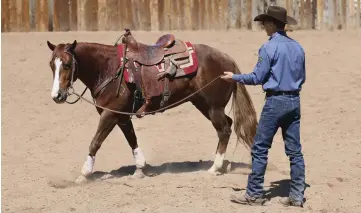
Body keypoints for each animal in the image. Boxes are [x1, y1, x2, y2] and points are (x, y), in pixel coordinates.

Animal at [45, 31, 258, 181]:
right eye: (51, 65)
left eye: (66, 64)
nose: (57, 96)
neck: (108, 68)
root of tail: (227, 59)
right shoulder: (121, 115)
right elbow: (132, 139)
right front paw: (140, 168)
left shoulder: (109, 114)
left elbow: (95, 142)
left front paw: (84, 174)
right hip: (204, 104)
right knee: (228, 124)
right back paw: (224, 164)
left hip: (213, 107)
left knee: (224, 130)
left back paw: (215, 168)